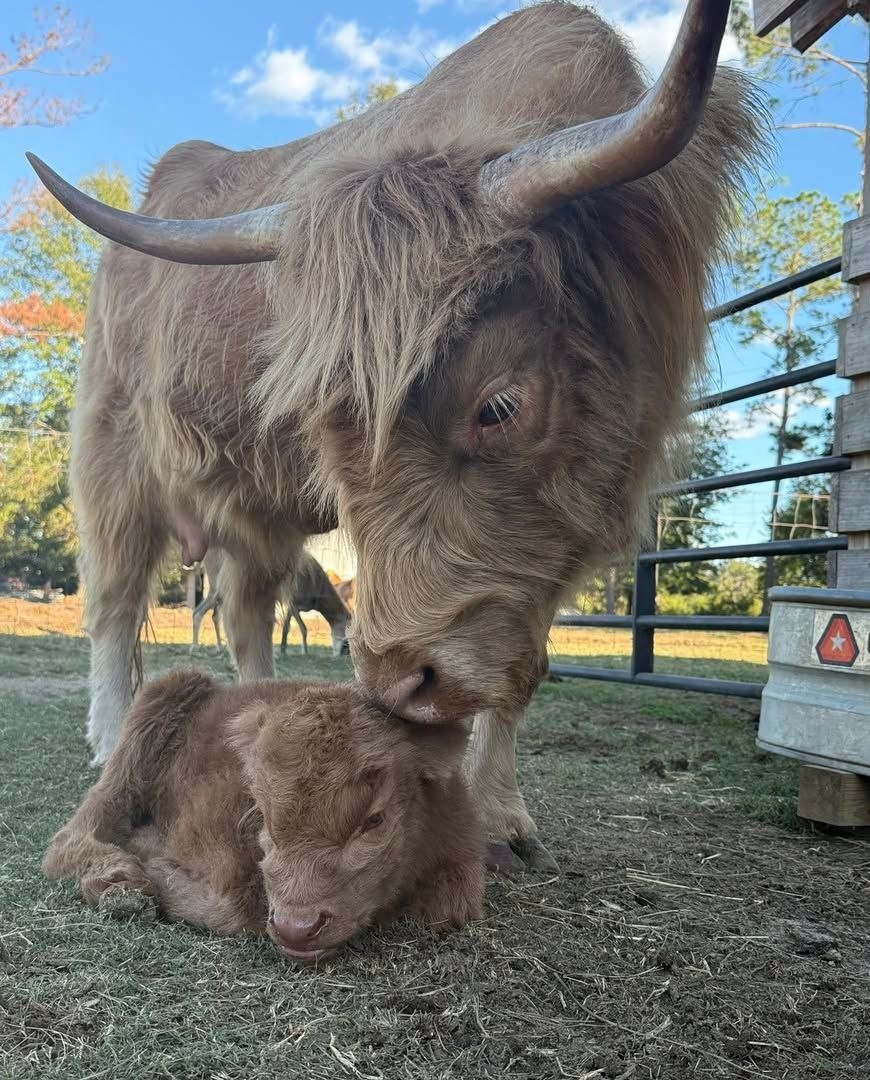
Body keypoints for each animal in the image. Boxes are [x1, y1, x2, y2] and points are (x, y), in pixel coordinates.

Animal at [42, 669, 484, 962]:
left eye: (374, 820)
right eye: (264, 815)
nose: (296, 927)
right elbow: (231, 910)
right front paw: (147, 860)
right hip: (150, 725)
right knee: (72, 836)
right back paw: (120, 883)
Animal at [191, 550, 351, 657]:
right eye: (346, 642)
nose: (343, 654)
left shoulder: (292, 607)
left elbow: (288, 626)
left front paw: (284, 649)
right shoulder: (293, 603)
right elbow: (301, 628)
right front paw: (300, 651)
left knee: (214, 616)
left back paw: (219, 647)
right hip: (217, 590)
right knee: (198, 613)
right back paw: (194, 648)